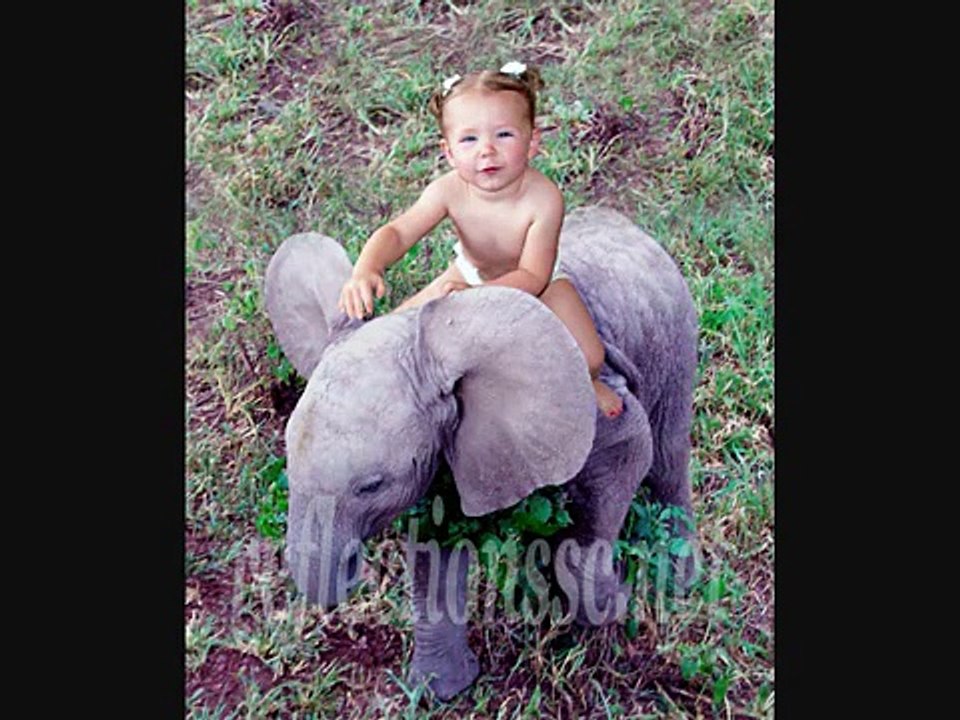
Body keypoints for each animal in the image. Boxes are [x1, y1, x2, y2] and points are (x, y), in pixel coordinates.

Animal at [263, 205, 699, 700]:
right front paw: (440, 691)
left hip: (675, 337)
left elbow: (629, 454)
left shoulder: (592, 403)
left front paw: (613, 601)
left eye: (371, 486)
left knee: (666, 459)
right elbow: (435, 544)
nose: (350, 573)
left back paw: (679, 581)